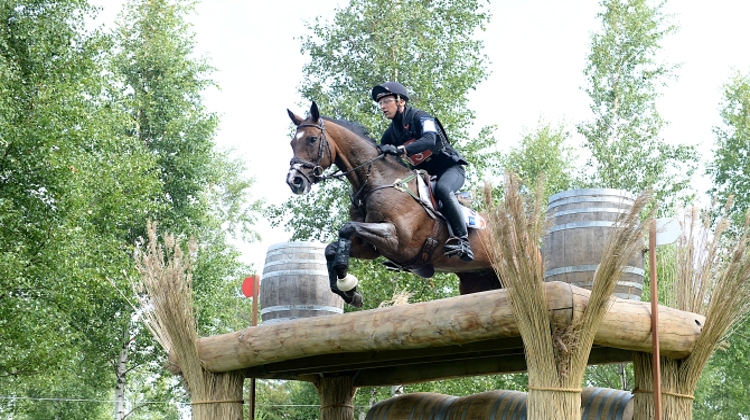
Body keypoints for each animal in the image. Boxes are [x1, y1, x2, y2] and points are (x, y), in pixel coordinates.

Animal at [284, 101, 502, 306]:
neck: (377, 180)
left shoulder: (398, 240)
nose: (294, 181)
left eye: (312, 139)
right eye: (292, 143)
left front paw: (345, 280)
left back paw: (461, 246)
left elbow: (347, 228)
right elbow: (331, 249)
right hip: (479, 279)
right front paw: (350, 292)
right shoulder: (369, 247)